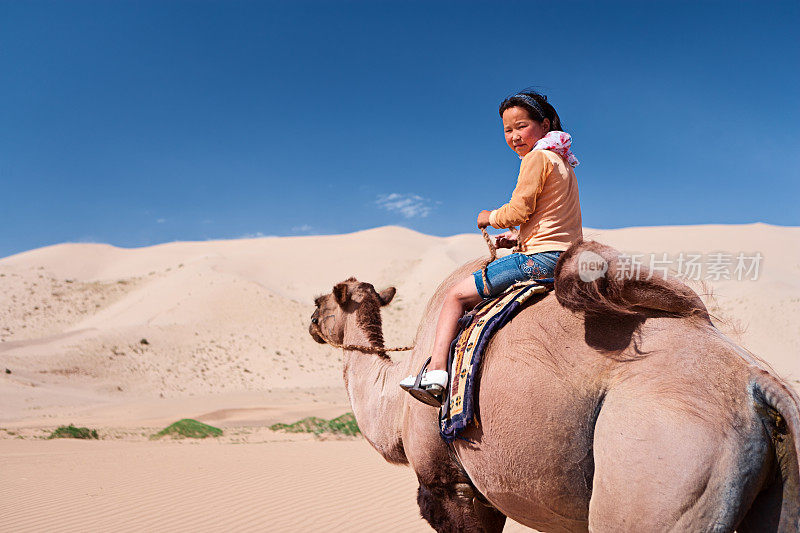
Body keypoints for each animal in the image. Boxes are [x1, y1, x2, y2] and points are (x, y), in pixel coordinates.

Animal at [308, 241, 800, 532]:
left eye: (319, 301)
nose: (311, 324)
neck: (392, 410)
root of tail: (758, 384)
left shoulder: (451, 485)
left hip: (662, 475)